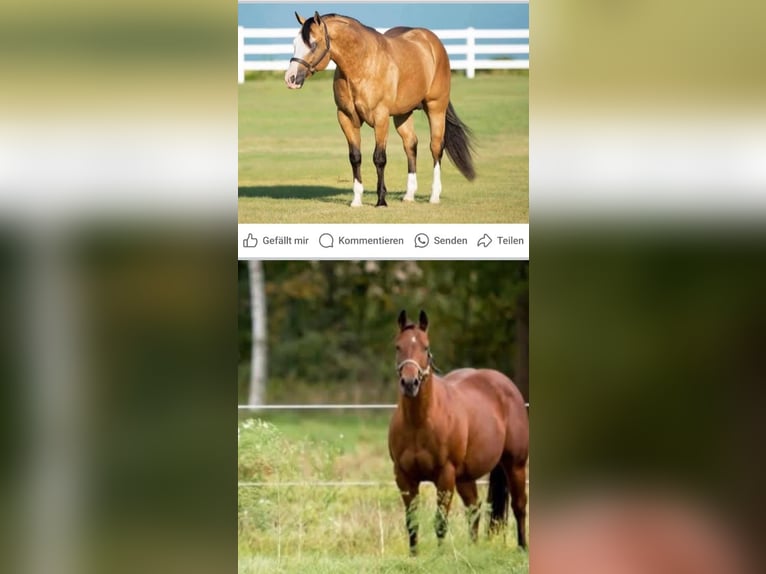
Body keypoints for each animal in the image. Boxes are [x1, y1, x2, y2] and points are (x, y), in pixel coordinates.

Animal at [285, 12, 475, 207]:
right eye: (294, 43)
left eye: (313, 44)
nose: (291, 78)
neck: (362, 64)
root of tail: (432, 41)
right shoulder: (346, 117)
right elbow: (355, 157)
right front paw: (356, 200)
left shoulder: (381, 117)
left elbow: (379, 158)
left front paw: (381, 200)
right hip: (403, 114)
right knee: (410, 145)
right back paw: (409, 195)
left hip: (436, 107)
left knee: (436, 147)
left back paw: (434, 196)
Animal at [388, 309, 529, 555]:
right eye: (398, 346)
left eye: (425, 347)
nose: (409, 383)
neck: (418, 423)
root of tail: (506, 385)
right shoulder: (404, 477)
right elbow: (412, 521)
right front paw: (414, 556)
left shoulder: (445, 475)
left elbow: (440, 521)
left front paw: (440, 556)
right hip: (465, 476)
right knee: (474, 507)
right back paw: (473, 549)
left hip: (515, 465)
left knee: (519, 505)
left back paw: (522, 547)